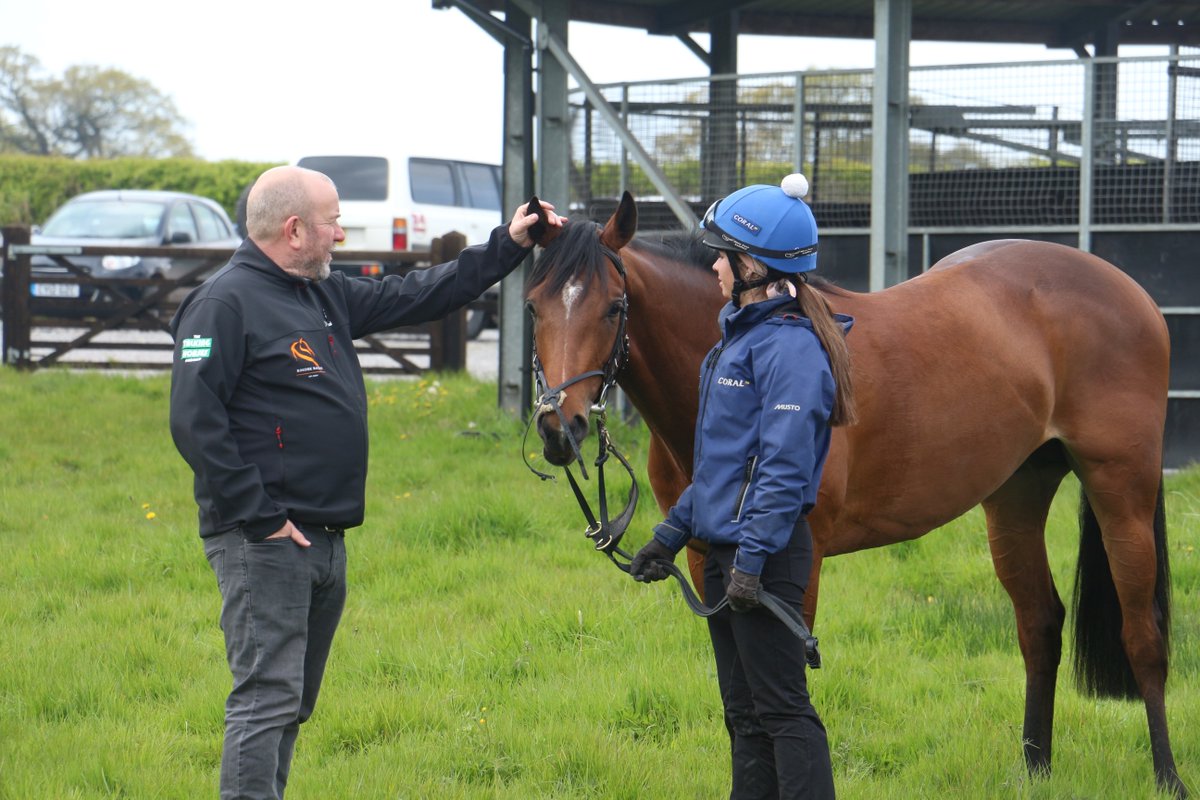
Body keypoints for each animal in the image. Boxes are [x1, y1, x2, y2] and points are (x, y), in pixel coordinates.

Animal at [523, 191, 1180, 796]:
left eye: (613, 307)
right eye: (532, 307)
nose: (561, 429)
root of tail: (1127, 289)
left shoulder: (792, 569)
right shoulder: (705, 558)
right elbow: (739, 705)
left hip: (1121, 489)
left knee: (1143, 636)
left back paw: (1167, 776)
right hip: (1016, 495)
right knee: (1039, 625)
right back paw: (1035, 770)